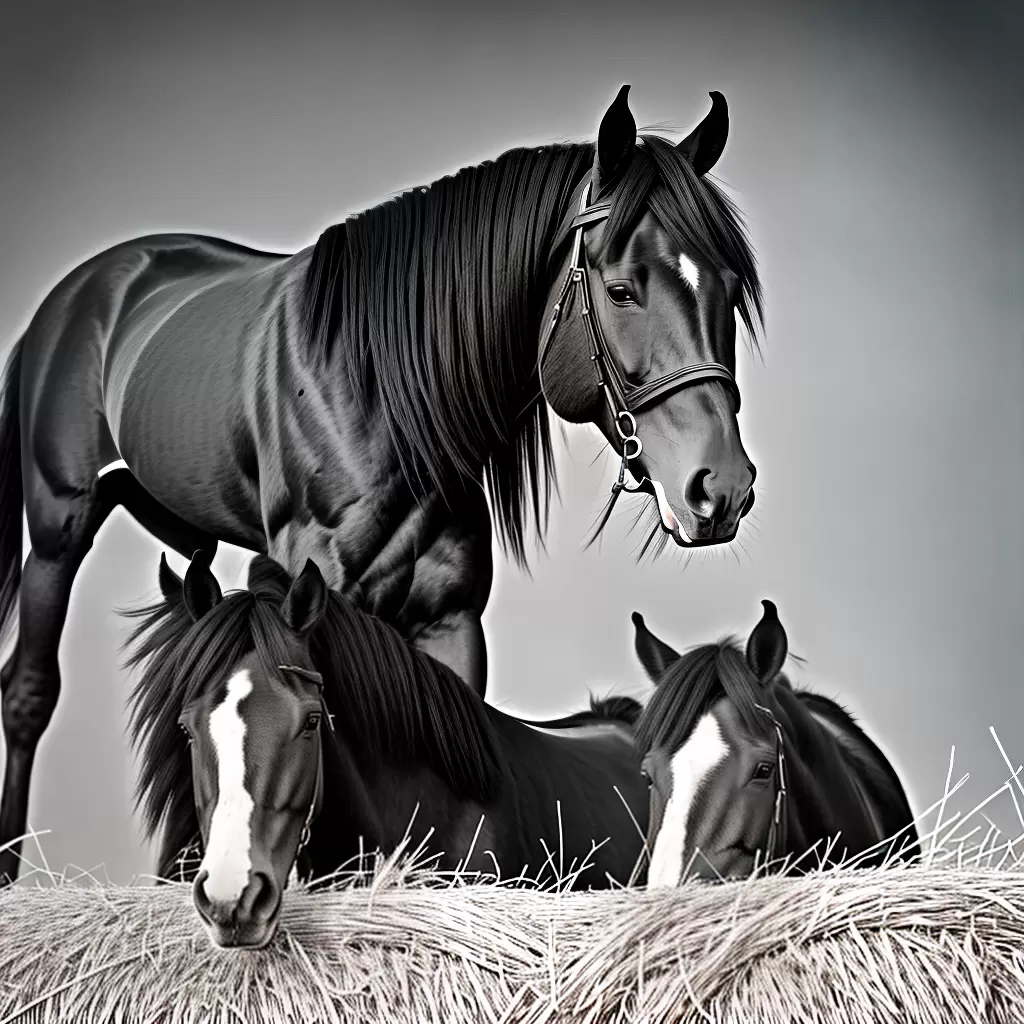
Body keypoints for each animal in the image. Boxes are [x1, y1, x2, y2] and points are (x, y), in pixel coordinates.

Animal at [0, 83, 764, 883]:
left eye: (730, 288)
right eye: (620, 291)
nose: (721, 488)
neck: (377, 397)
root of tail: (91, 284)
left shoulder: (449, 619)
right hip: (58, 523)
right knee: (28, 691)